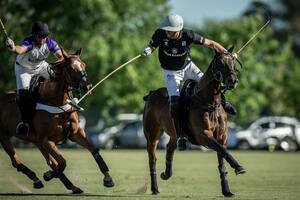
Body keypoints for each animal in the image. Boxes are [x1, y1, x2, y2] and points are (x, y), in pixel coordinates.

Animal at [0, 47, 114, 193]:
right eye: (71, 68)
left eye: (83, 64)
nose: (87, 86)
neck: (56, 101)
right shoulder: (47, 140)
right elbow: (62, 162)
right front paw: (48, 175)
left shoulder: (75, 133)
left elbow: (94, 150)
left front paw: (108, 179)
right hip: (4, 136)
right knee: (16, 161)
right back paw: (38, 179)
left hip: (35, 140)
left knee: (48, 161)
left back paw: (68, 185)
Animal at [144, 47, 246, 196]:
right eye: (220, 63)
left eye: (233, 61)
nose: (232, 81)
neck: (208, 102)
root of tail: (151, 94)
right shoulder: (203, 135)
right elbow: (222, 150)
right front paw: (238, 167)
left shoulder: (222, 136)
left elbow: (222, 157)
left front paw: (227, 190)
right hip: (152, 135)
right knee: (152, 159)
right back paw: (155, 188)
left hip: (174, 133)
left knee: (170, 148)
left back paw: (166, 174)